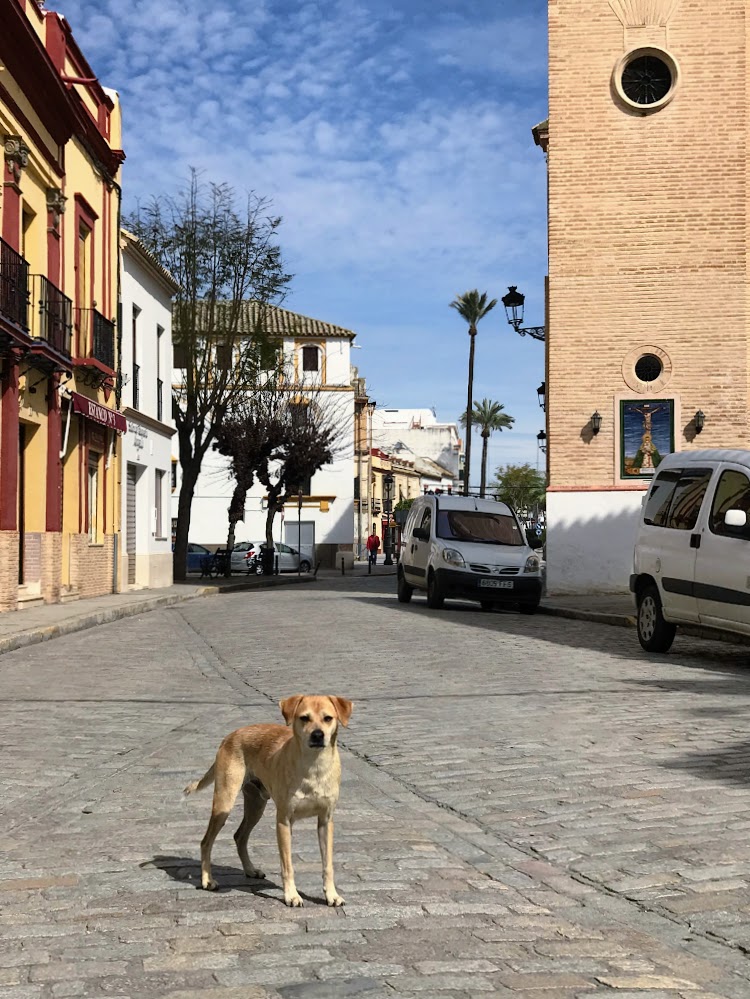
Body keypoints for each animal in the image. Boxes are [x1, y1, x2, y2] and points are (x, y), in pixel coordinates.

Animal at [185, 696, 356, 908]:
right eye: (304, 718)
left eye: (328, 718)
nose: (317, 735)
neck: (314, 767)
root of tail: (231, 735)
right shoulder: (284, 821)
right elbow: (287, 865)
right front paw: (292, 896)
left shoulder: (326, 821)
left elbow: (328, 865)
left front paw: (332, 895)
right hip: (224, 803)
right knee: (206, 841)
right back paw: (207, 880)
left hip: (256, 806)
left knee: (239, 836)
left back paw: (250, 870)